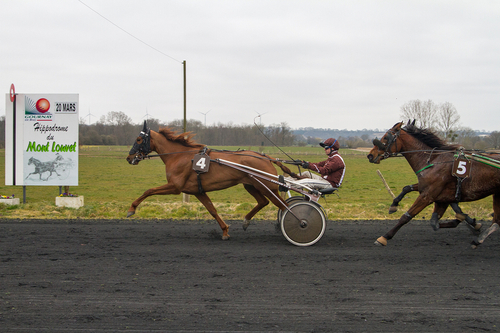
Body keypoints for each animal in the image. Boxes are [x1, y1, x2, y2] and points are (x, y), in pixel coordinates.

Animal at [127, 120, 296, 240]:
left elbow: (149, 190)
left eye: (139, 139)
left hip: (267, 186)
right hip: (251, 185)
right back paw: (247, 221)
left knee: (283, 206)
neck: (179, 156)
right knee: (264, 202)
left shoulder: (175, 186)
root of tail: (266, 157)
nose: (129, 158)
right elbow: (212, 210)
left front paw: (131, 209)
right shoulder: (197, 191)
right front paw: (225, 231)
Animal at [368, 121, 500, 246]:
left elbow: (406, 216)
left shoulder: (428, 195)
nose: (370, 155)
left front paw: (384, 237)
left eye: (386, 137)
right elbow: (408, 190)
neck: (434, 161)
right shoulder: (436, 194)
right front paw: (394, 205)